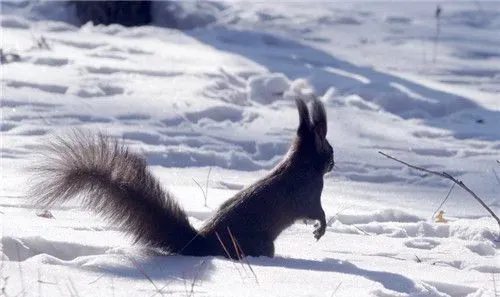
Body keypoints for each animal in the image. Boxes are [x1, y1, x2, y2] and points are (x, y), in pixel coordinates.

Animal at [26, 97, 332, 256]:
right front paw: (321, 229)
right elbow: (318, 211)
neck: (299, 164)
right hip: (261, 244)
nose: (333, 163)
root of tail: (203, 243)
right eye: (328, 149)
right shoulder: (308, 195)